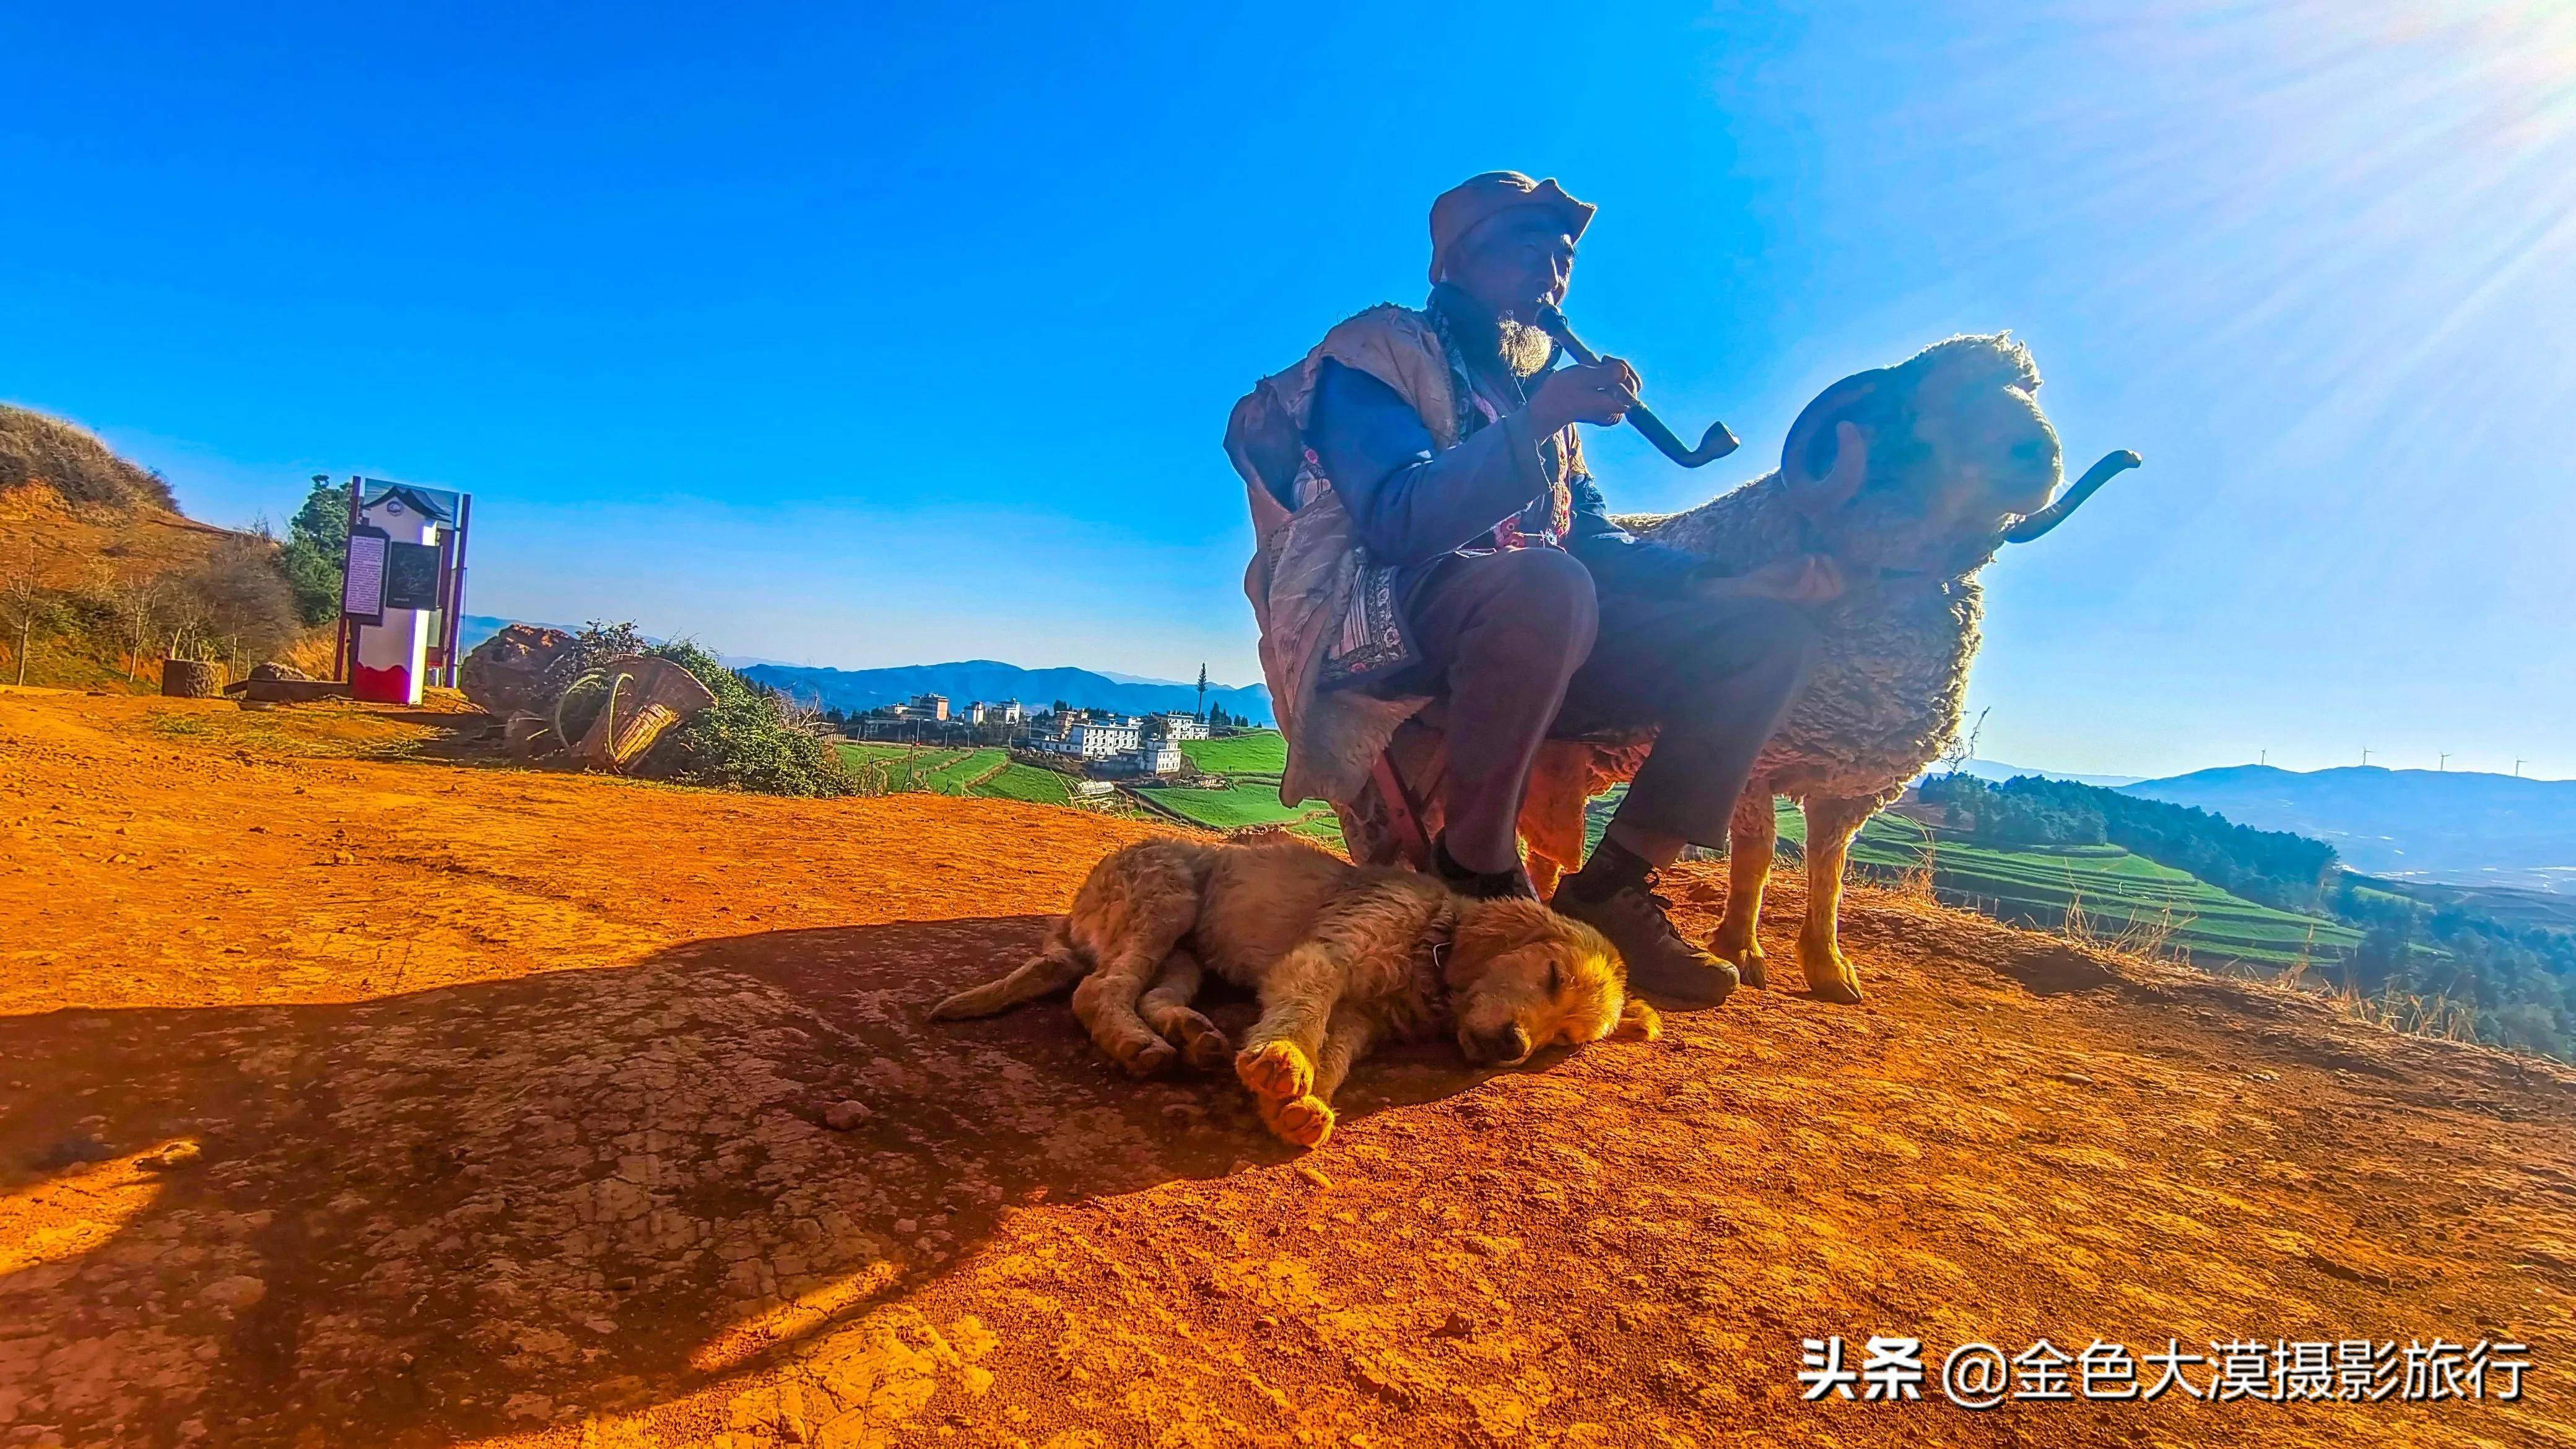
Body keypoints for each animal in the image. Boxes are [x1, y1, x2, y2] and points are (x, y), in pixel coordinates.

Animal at [938, 830, 1659, 1144]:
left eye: (1563, 1041)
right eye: (1551, 975)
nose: (1513, 1047)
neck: (1433, 946)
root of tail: (1075, 914)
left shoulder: (1364, 1019)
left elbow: (1334, 1052)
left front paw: (1299, 1104)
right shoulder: (1326, 956)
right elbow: (1305, 1014)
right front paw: (1284, 1061)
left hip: (1186, 957)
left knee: (1148, 994)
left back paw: (1194, 1036)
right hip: (1164, 895)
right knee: (1098, 992)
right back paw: (1136, 1045)